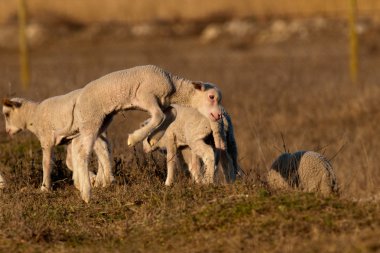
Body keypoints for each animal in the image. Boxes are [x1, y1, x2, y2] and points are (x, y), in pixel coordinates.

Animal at [71, 65, 224, 204]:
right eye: (211, 97)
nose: (218, 115)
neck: (173, 87)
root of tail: (78, 101)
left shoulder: (162, 103)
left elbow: (171, 114)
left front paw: (153, 139)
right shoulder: (146, 96)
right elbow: (158, 116)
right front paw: (134, 139)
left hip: (102, 121)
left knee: (79, 148)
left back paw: (82, 186)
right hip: (91, 119)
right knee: (82, 153)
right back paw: (86, 193)